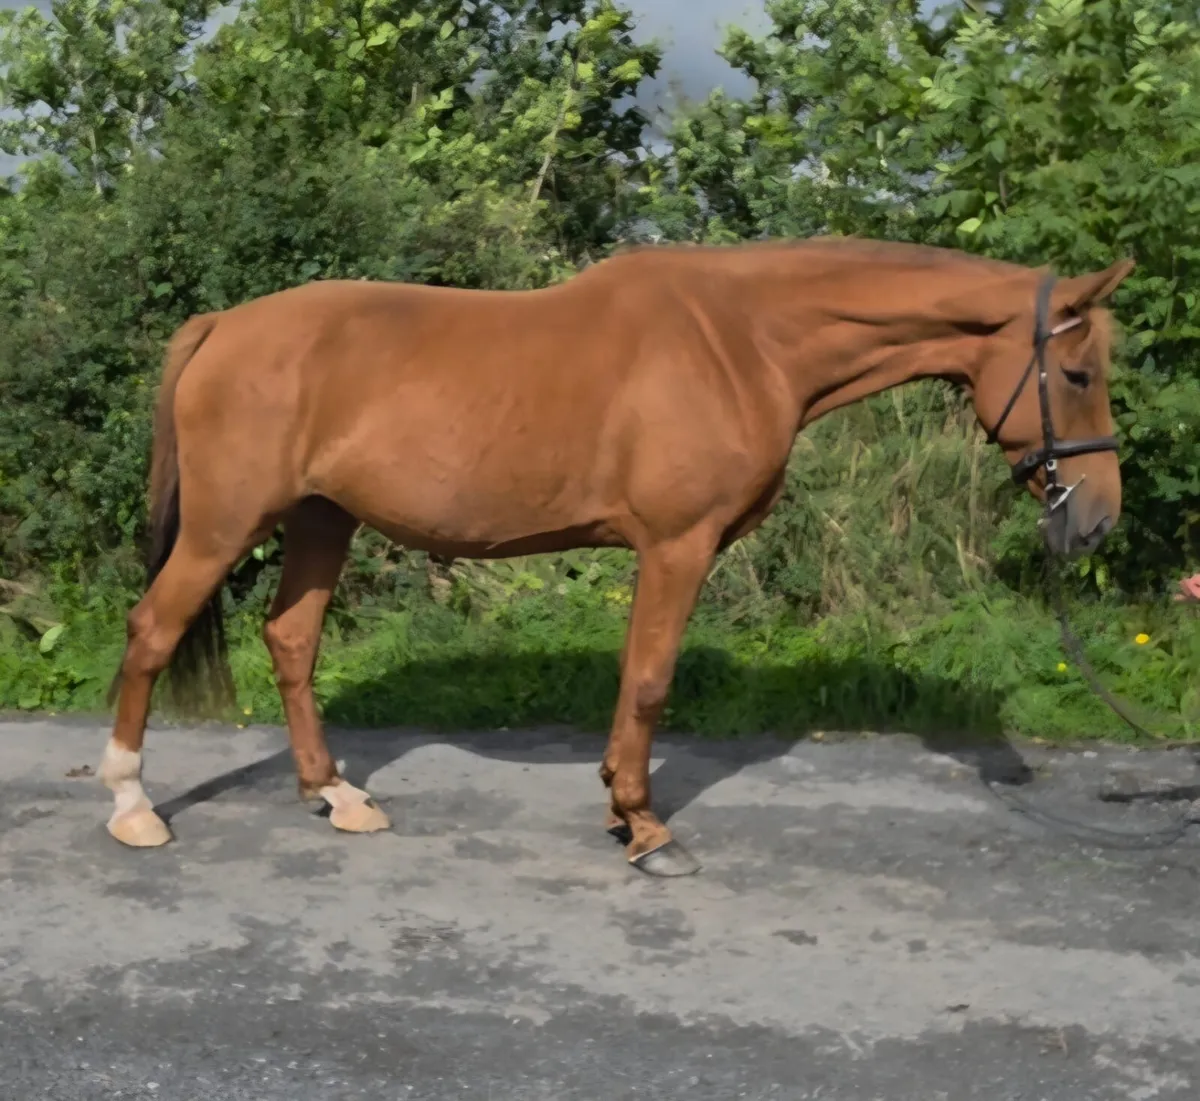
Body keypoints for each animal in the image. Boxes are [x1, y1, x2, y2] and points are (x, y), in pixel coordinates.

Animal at [99, 237, 1134, 876]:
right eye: (1077, 373)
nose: (1095, 520)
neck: (744, 341)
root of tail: (223, 325)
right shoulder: (678, 544)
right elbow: (648, 681)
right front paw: (645, 828)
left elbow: (637, 675)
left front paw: (617, 807)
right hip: (227, 525)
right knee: (151, 630)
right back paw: (132, 805)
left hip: (322, 521)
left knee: (290, 640)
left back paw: (334, 794)